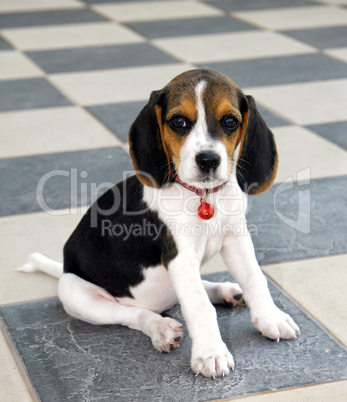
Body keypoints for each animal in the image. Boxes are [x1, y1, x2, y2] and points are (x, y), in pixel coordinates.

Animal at [19, 70, 300, 380]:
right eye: (178, 122)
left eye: (230, 121)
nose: (208, 160)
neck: (203, 196)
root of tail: (65, 266)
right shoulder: (179, 257)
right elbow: (199, 305)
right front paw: (210, 353)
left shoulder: (236, 240)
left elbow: (254, 279)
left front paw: (271, 317)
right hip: (76, 294)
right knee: (131, 314)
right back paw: (160, 328)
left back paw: (225, 291)